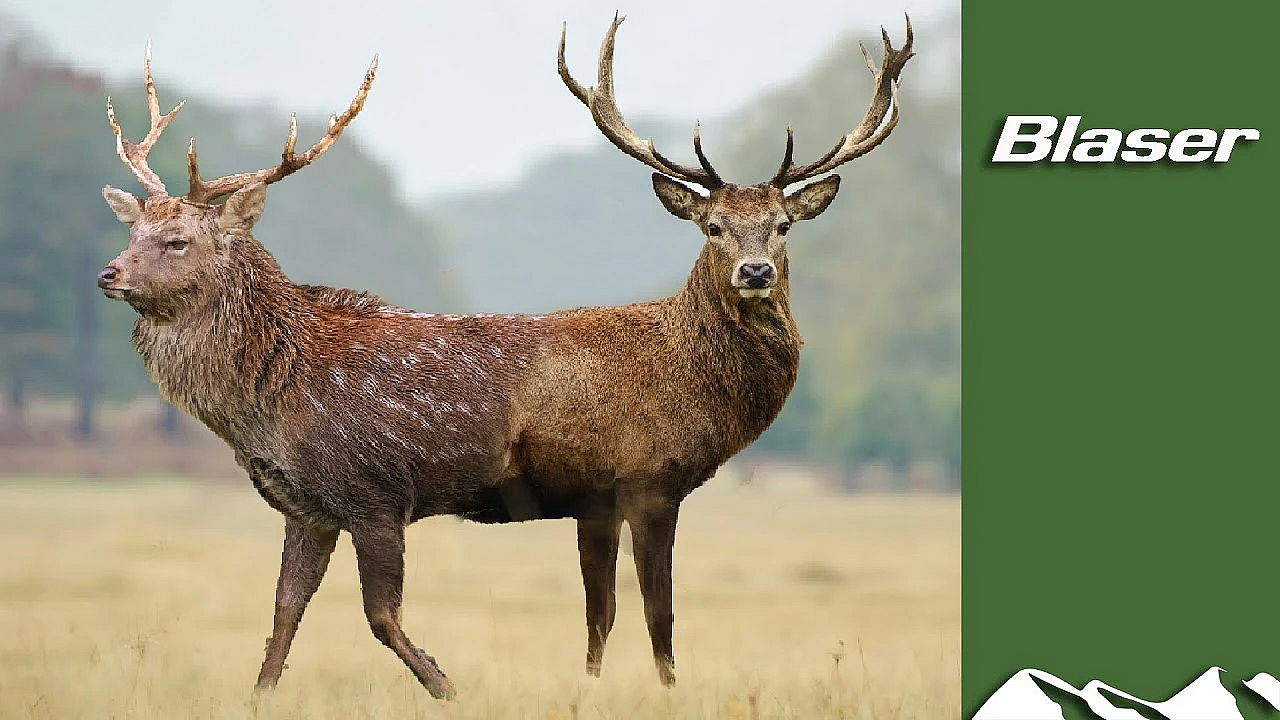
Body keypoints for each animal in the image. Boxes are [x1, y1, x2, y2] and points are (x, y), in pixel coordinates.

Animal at [96, 12, 911, 699]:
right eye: (712, 226)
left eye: (782, 225)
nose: (756, 272)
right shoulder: (344, 498)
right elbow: (312, 617)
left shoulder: (612, 486)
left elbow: (634, 617)